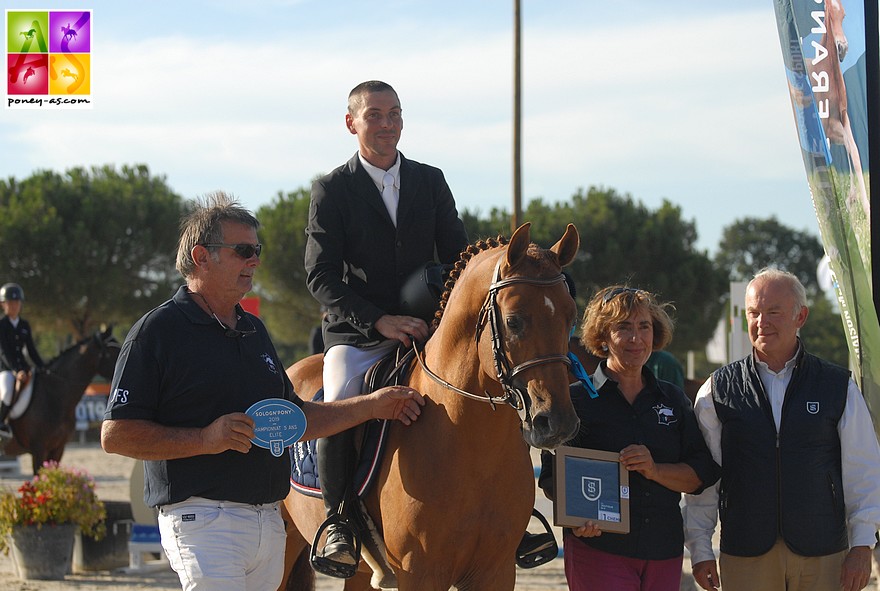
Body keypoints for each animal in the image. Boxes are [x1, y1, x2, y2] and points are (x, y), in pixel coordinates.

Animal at [284, 224, 584, 588]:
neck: (471, 444)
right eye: (513, 321)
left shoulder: (495, 571)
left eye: (571, 317)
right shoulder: (420, 571)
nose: (557, 422)